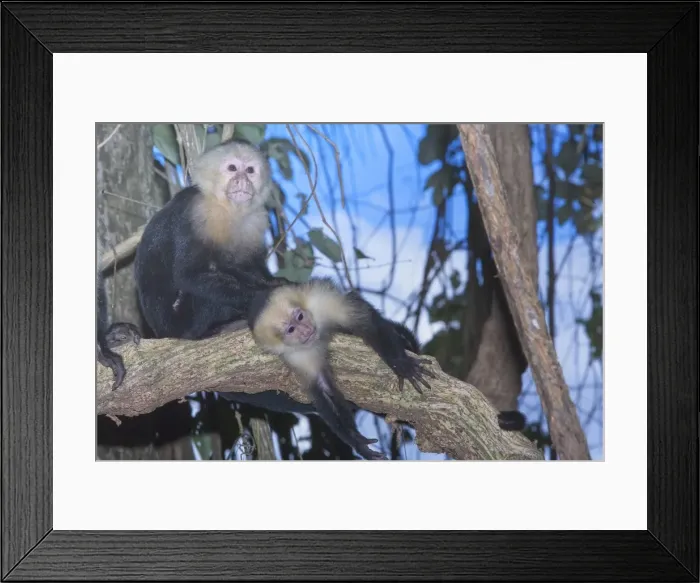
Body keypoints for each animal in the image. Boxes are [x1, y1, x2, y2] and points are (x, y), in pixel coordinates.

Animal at [246, 277, 438, 460]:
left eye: (300, 317)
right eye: (291, 329)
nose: (306, 330)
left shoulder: (320, 301)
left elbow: (366, 323)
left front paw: (402, 365)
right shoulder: (298, 356)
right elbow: (323, 388)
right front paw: (356, 441)